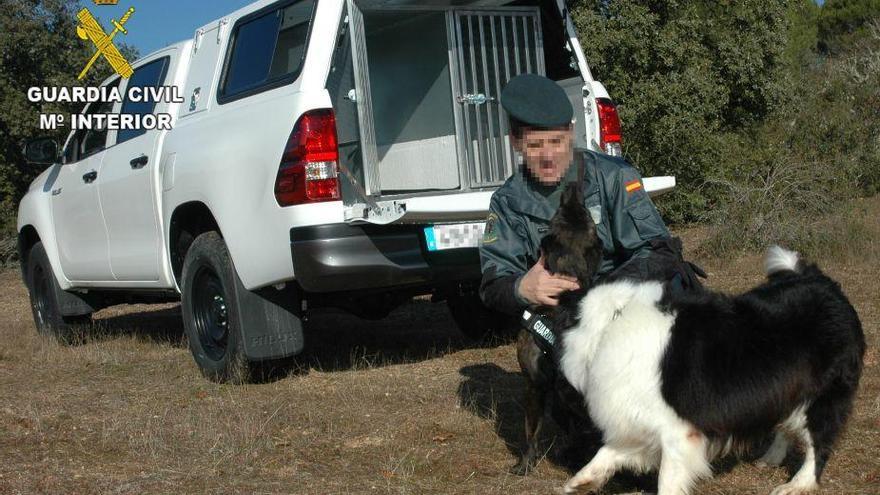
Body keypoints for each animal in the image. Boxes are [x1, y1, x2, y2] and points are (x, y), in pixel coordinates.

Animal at [544, 183, 868, 495]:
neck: (610, 322)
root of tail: (821, 281)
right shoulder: (638, 421)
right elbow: (607, 452)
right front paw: (582, 481)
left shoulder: (678, 432)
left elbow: (667, 480)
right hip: (787, 386)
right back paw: (771, 458)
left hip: (823, 394)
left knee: (818, 441)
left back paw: (798, 484)